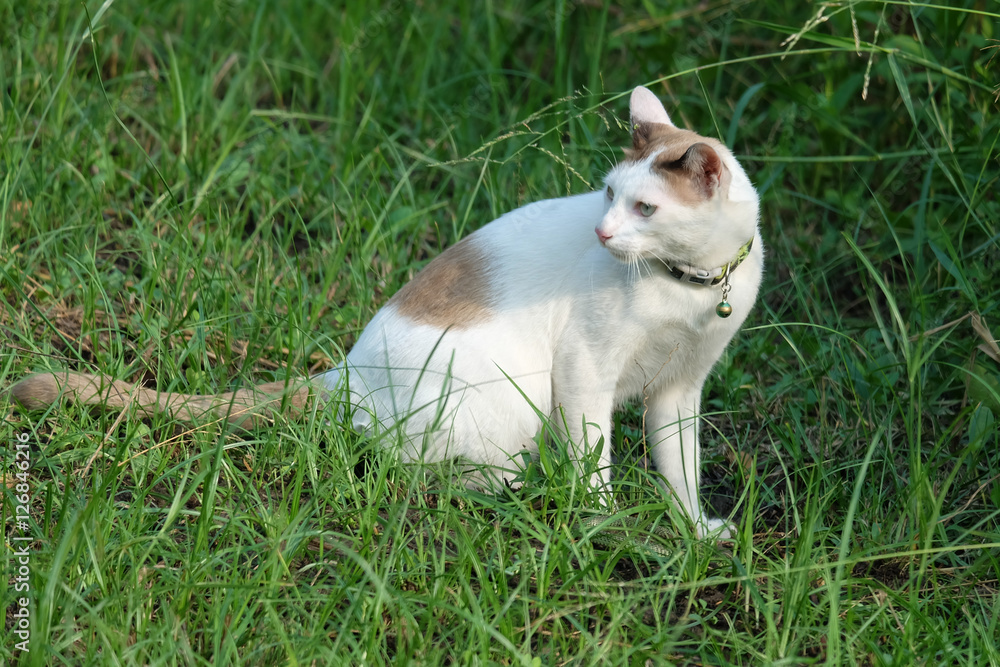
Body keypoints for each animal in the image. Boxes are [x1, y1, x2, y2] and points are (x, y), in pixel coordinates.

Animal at [7, 86, 760, 536]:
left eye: (645, 208)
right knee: (424, 470)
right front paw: (602, 523)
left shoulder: (681, 387)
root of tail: (345, 372)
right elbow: (594, 457)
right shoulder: (584, 369)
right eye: (606, 193)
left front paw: (697, 532)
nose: (601, 234)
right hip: (510, 402)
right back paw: (518, 494)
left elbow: (681, 466)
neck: (693, 287)